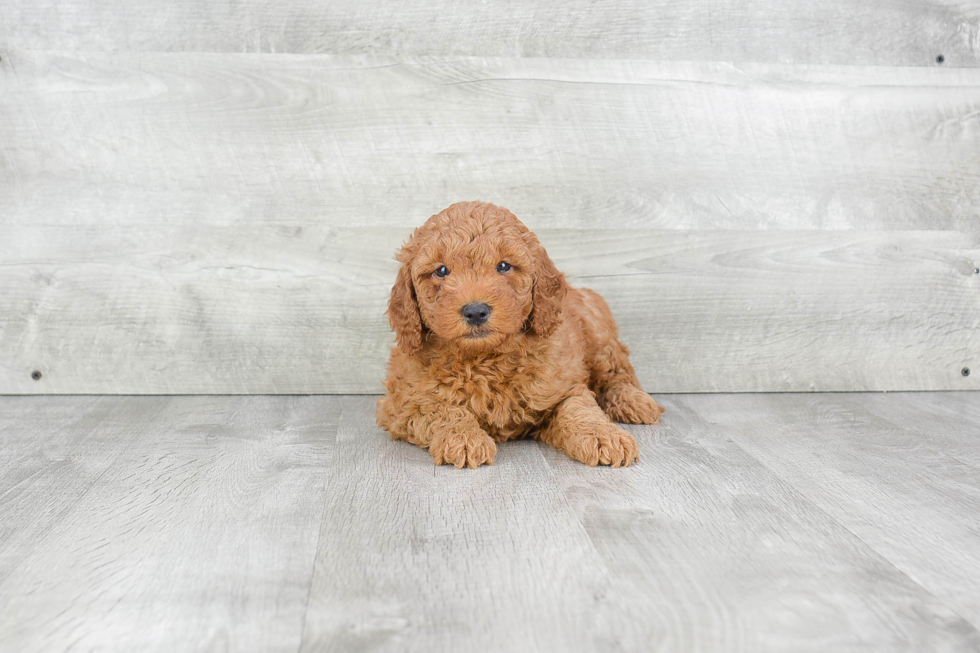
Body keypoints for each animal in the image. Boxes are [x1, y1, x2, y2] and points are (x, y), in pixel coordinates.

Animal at [378, 201, 668, 466]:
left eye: (504, 266)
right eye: (441, 270)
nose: (475, 311)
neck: (485, 359)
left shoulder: (564, 387)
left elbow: (579, 409)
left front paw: (603, 436)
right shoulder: (405, 402)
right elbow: (443, 410)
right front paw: (463, 437)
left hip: (599, 334)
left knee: (617, 373)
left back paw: (634, 402)